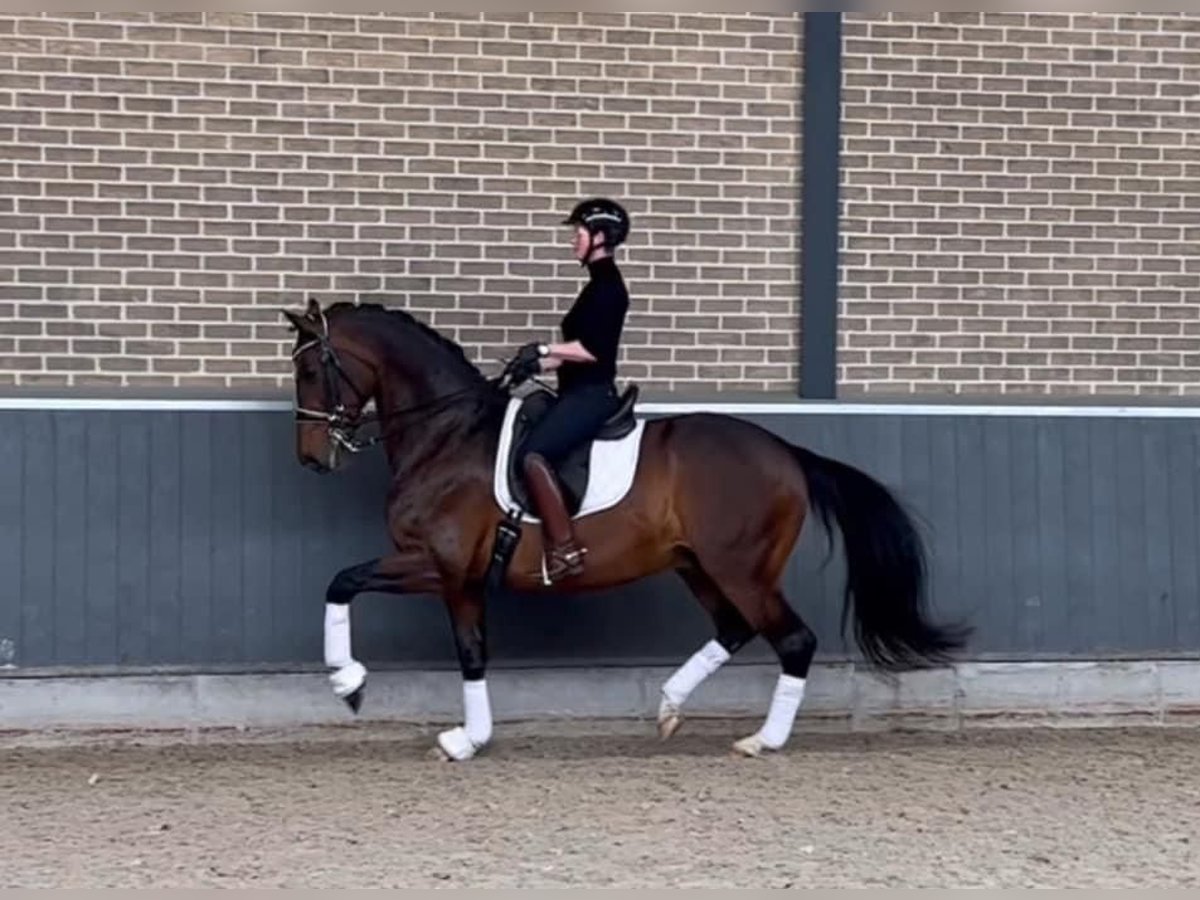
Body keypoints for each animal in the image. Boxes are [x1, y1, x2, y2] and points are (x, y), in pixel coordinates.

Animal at [285, 297, 969, 763]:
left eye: (313, 372)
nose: (312, 458)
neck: (446, 434)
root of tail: (787, 454)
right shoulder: (463, 579)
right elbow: (471, 651)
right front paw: (467, 738)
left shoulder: (440, 565)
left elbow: (342, 583)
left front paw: (351, 685)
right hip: (699, 565)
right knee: (735, 629)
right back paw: (669, 706)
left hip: (740, 568)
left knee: (794, 640)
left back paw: (760, 741)